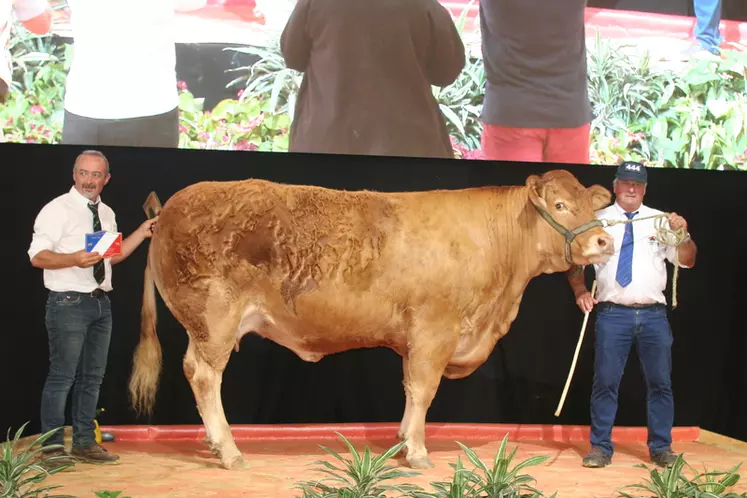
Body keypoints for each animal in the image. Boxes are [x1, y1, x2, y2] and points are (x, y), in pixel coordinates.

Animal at [127, 169, 612, 468]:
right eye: (560, 205)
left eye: (593, 207)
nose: (604, 242)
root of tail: (169, 208)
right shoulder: (435, 329)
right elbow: (424, 390)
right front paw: (417, 452)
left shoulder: (415, 338)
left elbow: (410, 390)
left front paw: (401, 441)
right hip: (215, 321)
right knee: (204, 375)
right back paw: (228, 450)